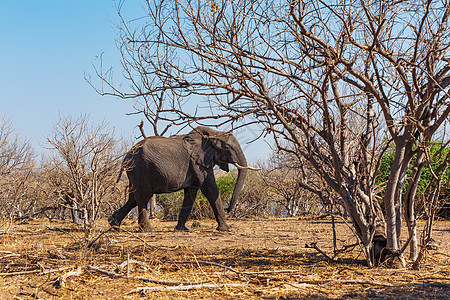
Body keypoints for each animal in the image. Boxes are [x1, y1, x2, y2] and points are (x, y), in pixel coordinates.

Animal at [107, 126, 255, 232]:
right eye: (227, 147)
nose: (228, 209)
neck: (213, 133)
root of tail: (126, 155)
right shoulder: (197, 162)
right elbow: (210, 189)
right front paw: (226, 229)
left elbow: (191, 192)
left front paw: (182, 229)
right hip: (140, 168)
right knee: (143, 197)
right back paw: (148, 230)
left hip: (135, 171)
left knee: (133, 198)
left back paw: (113, 225)